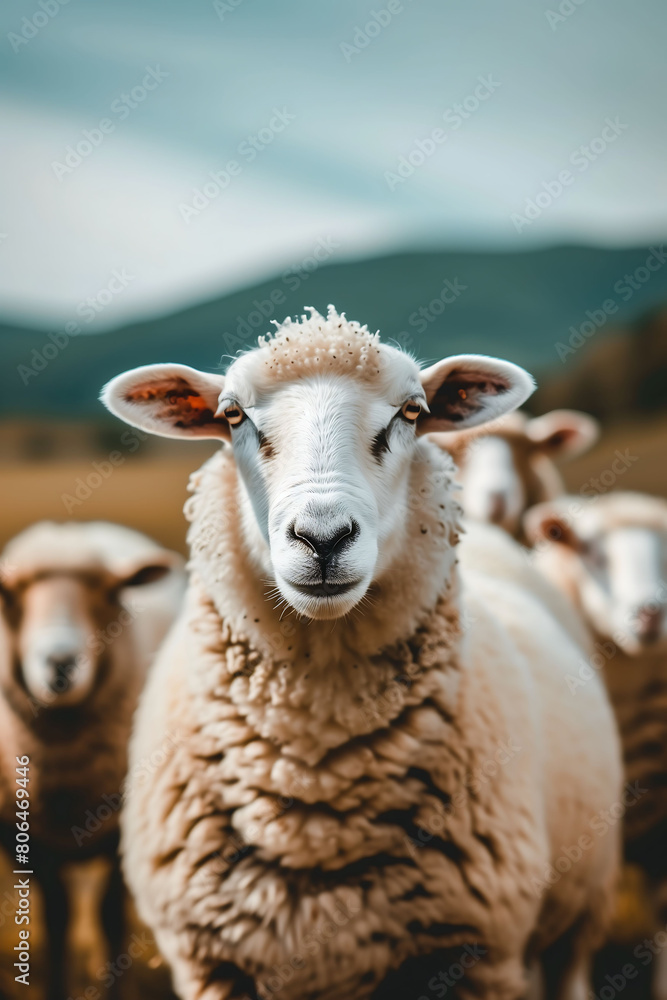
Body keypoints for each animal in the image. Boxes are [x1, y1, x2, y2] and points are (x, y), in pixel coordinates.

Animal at [0, 520, 187, 1000]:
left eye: (109, 591)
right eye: (11, 594)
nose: (60, 661)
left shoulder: (122, 832)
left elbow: (110, 918)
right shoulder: (36, 842)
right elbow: (57, 918)